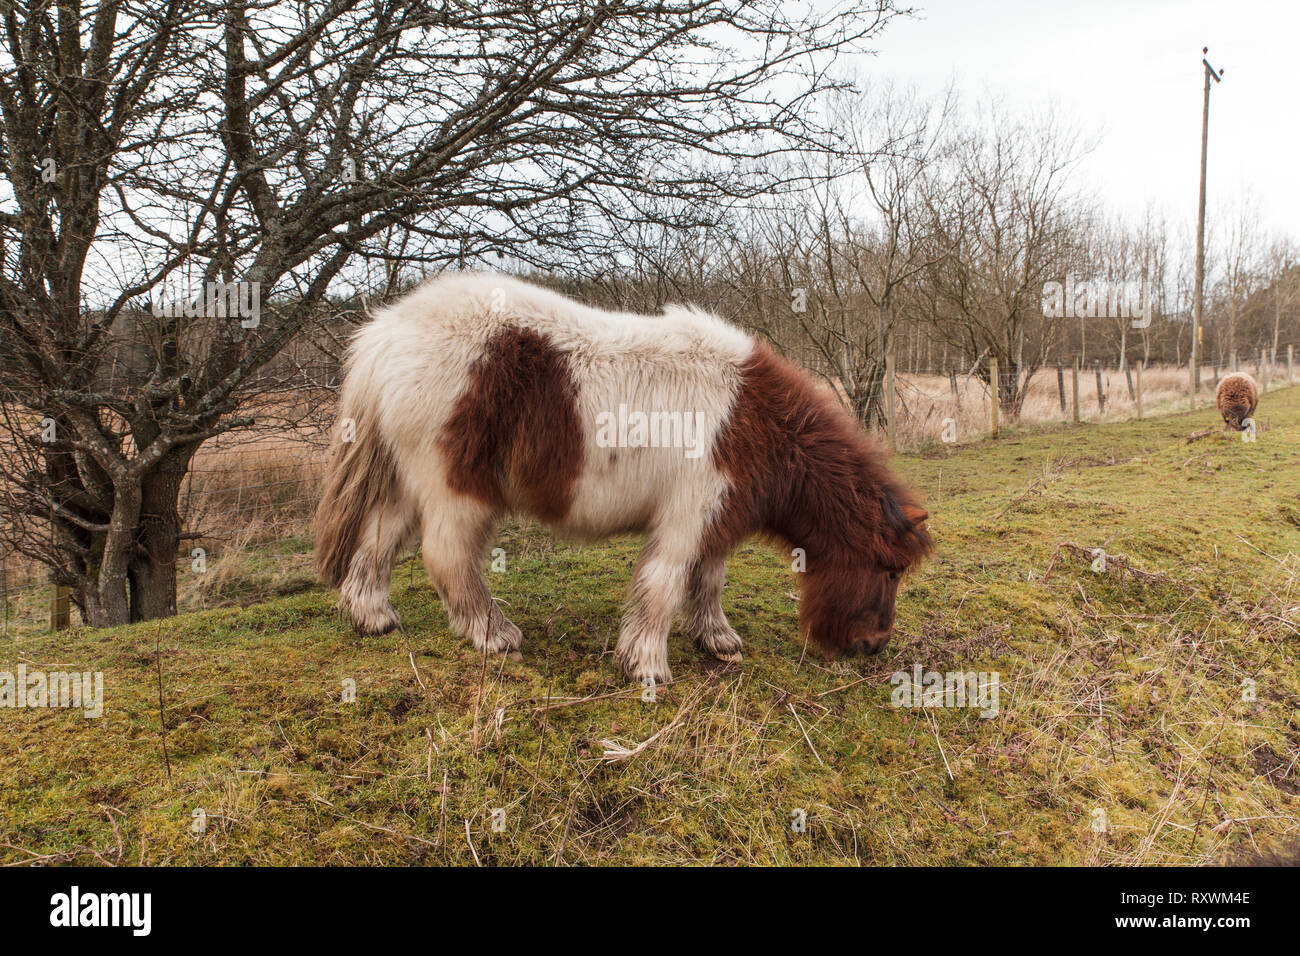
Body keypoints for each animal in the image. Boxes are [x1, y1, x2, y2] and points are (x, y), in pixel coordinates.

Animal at [314, 273, 930, 686]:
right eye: (890, 571)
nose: (873, 647)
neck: (755, 419)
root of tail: (383, 334)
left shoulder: (714, 515)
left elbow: (709, 580)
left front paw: (718, 641)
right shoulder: (687, 516)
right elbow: (665, 585)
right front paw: (648, 667)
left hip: (409, 480)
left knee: (378, 542)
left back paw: (374, 617)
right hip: (457, 488)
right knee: (447, 557)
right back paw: (494, 635)